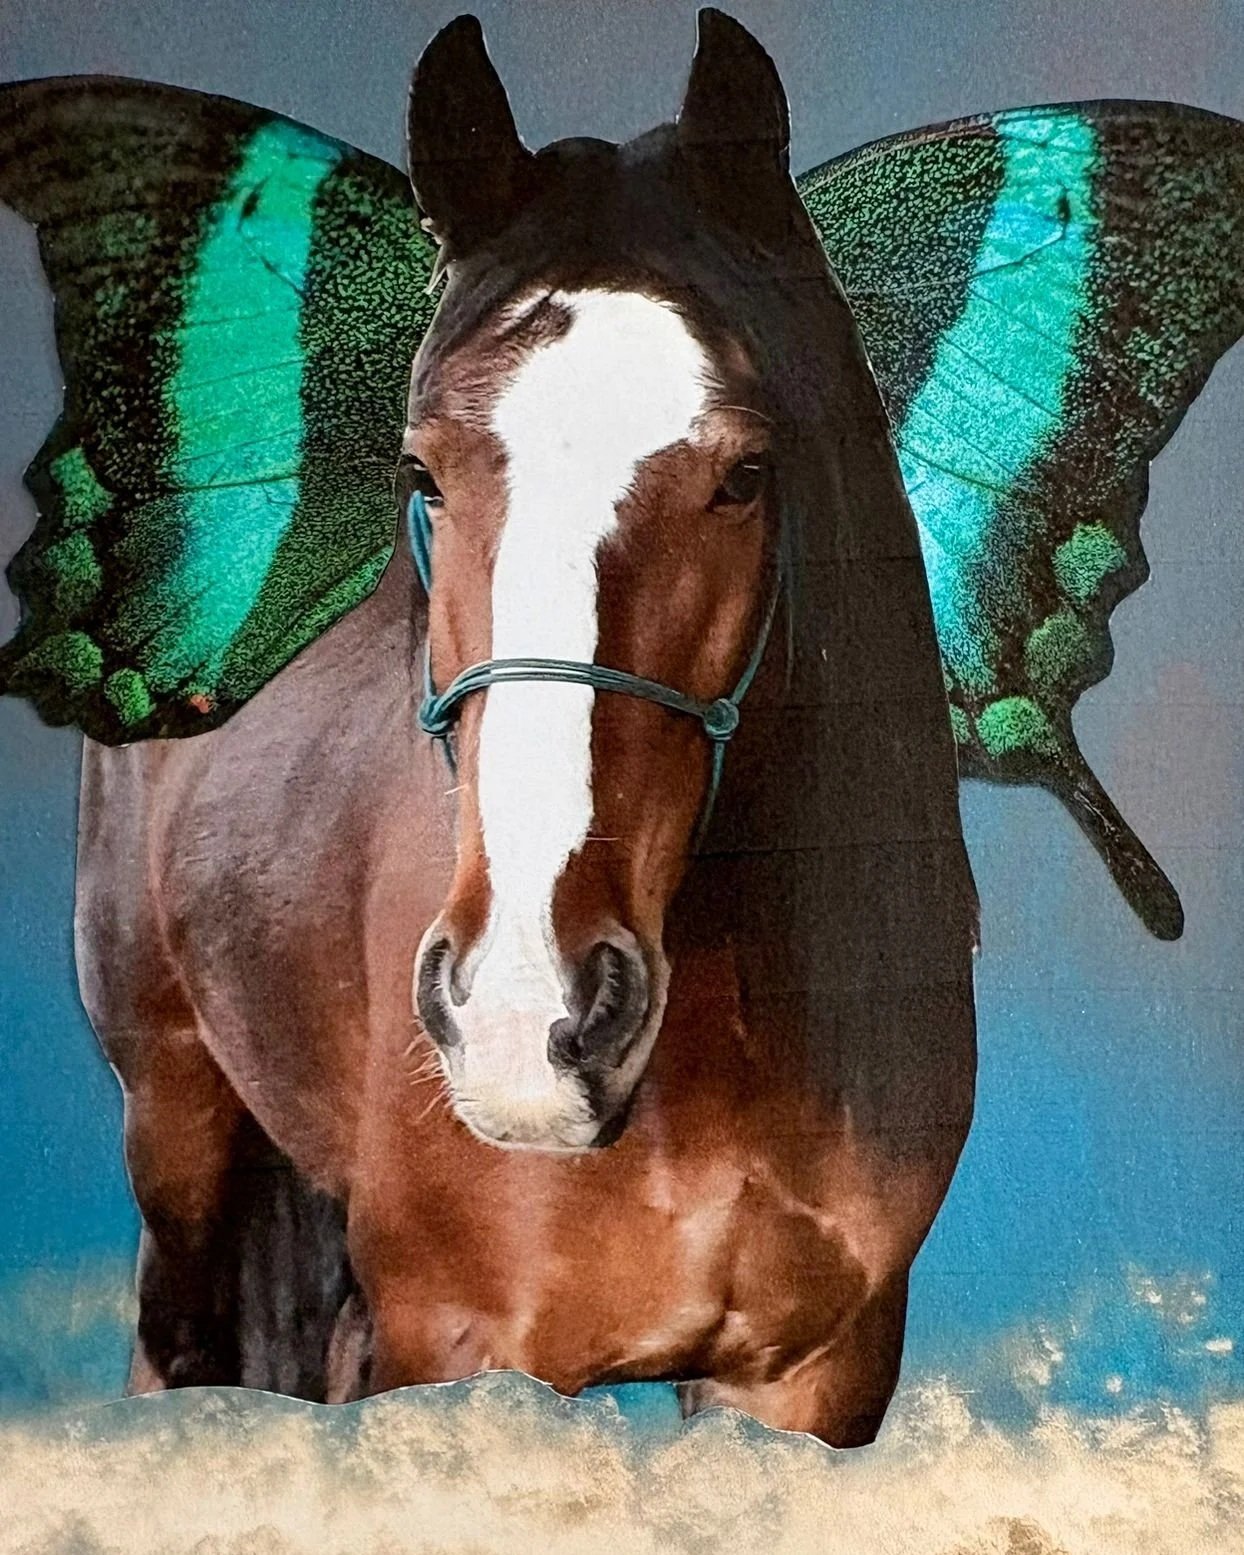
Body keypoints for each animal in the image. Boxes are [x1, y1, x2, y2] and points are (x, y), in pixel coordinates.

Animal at [74, 10, 978, 1446]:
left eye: (745, 474)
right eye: (423, 470)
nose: (525, 1009)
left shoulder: (812, 1374)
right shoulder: (455, 1342)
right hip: (177, 1129)